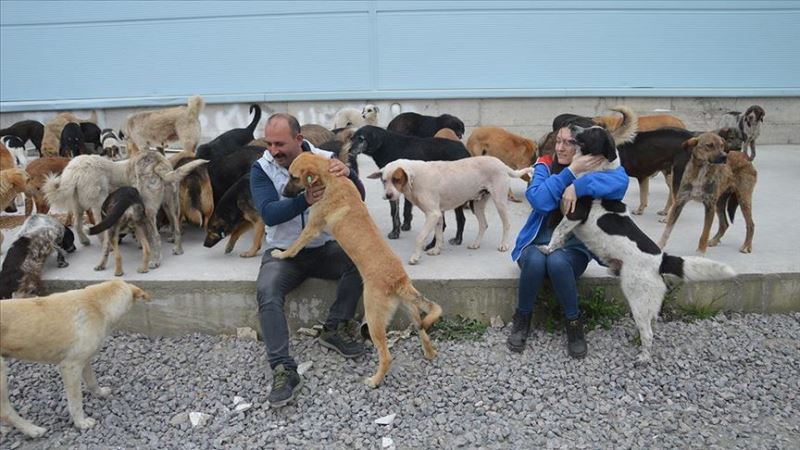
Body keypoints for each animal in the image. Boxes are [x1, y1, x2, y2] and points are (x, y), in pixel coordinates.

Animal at [0, 280, 152, 438]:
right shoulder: (70, 367)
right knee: (5, 412)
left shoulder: (85, 361)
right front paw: (81, 423)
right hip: (2, 375)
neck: (97, 304)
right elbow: (75, 402)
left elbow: (92, 382)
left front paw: (100, 393)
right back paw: (33, 430)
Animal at [272, 152, 440, 386]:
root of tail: (398, 280)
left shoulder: (311, 228)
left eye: (293, 177)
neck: (329, 179)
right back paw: (430, 353)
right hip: (413, 312)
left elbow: (294, 246)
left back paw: (374, 380)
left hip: (374, 318)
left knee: (386, 355)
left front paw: (281, 254)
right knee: (423, 331)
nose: (283, 193)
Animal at [368, 156, 532, 266]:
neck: (415, 177)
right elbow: (439, 235)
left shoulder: (432, 214)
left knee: (506, 224)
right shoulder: (438, 214)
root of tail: (501, 164)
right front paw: (436, 250)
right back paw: (476, 243)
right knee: (483, 224)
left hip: (499, 202)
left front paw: (415, 257)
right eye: (384, 180)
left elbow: (420, 237)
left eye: (396, 179)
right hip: (477, 204)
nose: (388, 196)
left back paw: (504, 245)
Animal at [536, 125, 736, 364]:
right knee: (652, 323)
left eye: (593, 132)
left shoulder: (575, 213)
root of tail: (662, 259)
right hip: (648, 301)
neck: (597, 169)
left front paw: (547, 249)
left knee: (648, 331)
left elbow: (557, 232)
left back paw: (643, 357)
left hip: (636, 296)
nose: (573, 127)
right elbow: (559, 231)